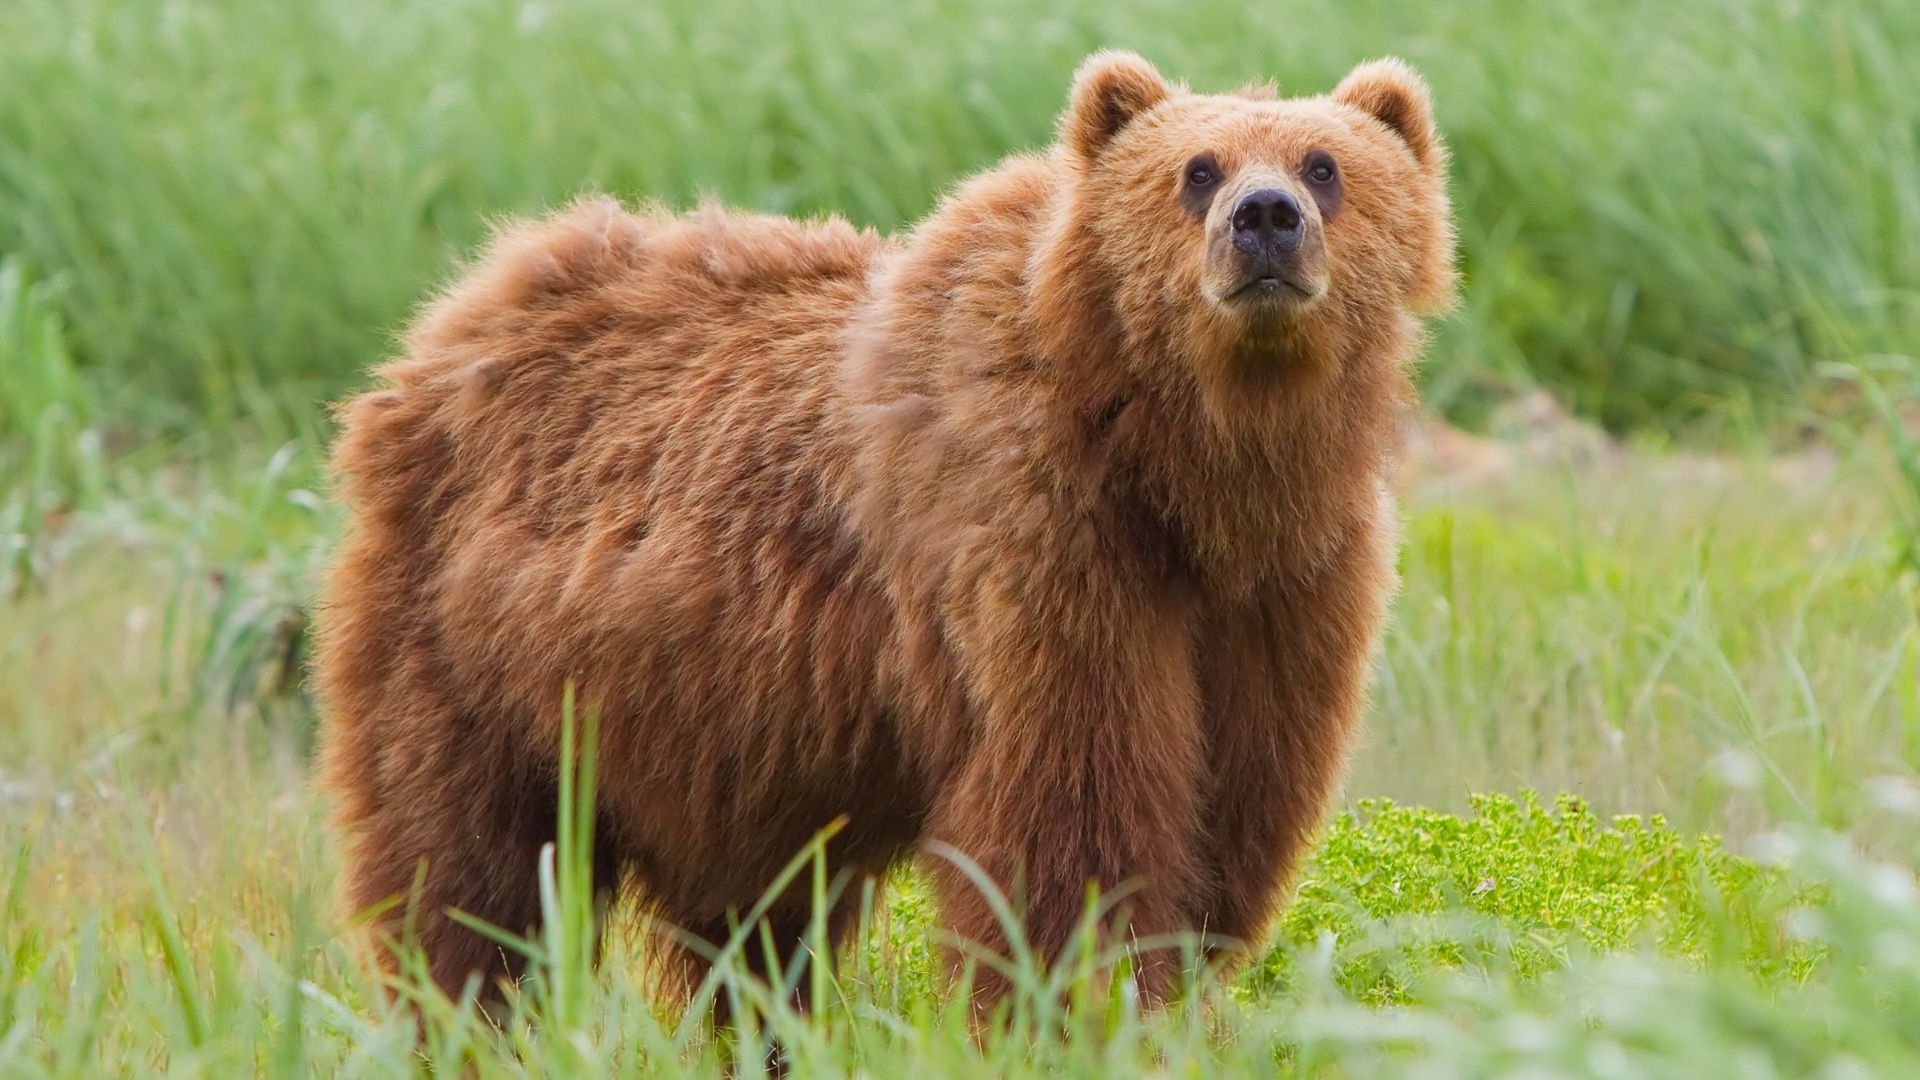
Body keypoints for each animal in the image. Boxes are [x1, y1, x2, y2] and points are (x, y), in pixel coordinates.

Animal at [313, 49, 1454, 1015]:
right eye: (1196, 169)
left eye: (1325, 164)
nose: (1265, 218)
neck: (1188, 472)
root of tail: (457, 313)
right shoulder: (1040, 548)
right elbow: (1073, 822)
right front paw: (1078, 1001)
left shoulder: (1286, 592)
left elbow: (1233, 814)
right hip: (473, 653)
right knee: (469, 876)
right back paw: (466, 1014)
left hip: (719, 739)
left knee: (752, 931)